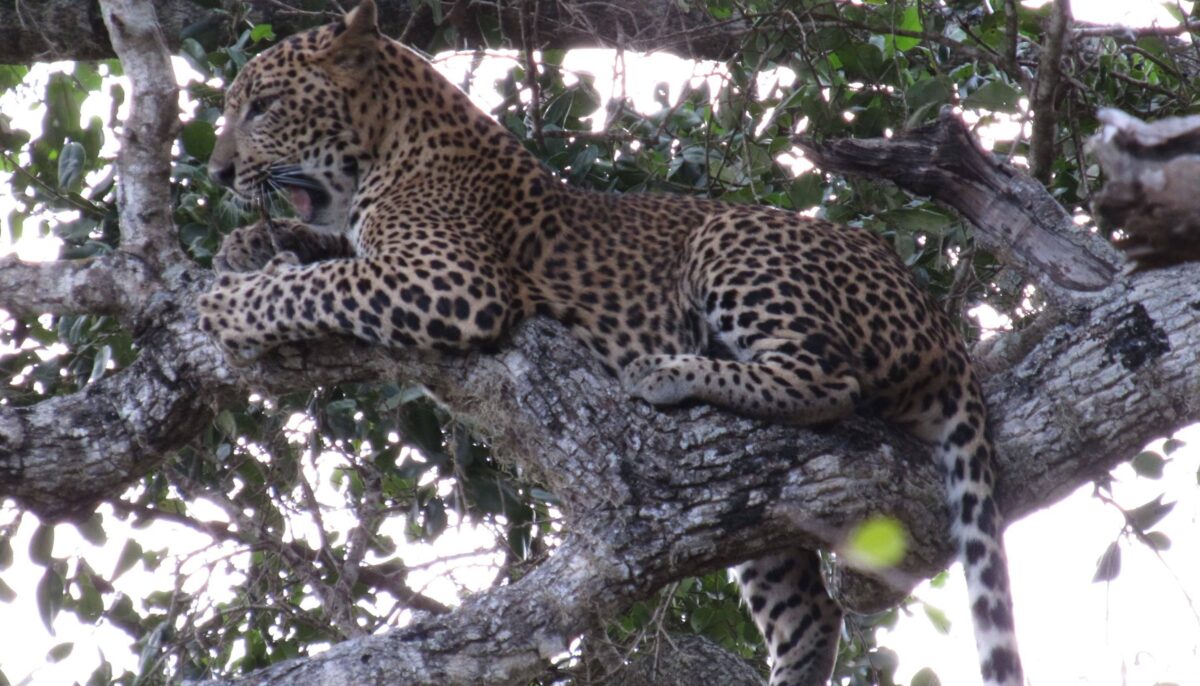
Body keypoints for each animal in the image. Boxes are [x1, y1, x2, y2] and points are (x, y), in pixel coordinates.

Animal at [198, 1, 1024, 684]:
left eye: (262, 108)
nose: (219, 171)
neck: (391, 143)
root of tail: (942, 327)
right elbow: (326, 252)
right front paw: (251, 241)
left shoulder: (453, 281)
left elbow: (317, 285)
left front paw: (227, 302)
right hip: (758, 521)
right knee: (810, 615)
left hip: (729, 238)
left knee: (826, 379)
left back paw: (668, 371)